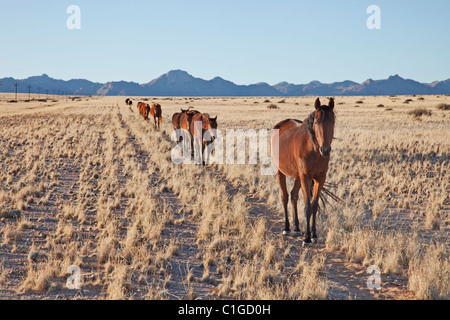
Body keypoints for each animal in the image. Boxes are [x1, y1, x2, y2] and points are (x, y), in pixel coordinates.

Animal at [270, 97, 334, 245]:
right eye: (316, 122)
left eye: (333, 122)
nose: (325, 150)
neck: (313, 150)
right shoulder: (306, 177)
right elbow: (307, 206)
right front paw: (307, 238)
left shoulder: (320, 178)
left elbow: (314, 205)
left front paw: (314, 235)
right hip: (280, 172)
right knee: (285, 196)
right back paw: (287, 227)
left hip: (298, 176)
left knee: (293, 195)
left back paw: (297, 228)